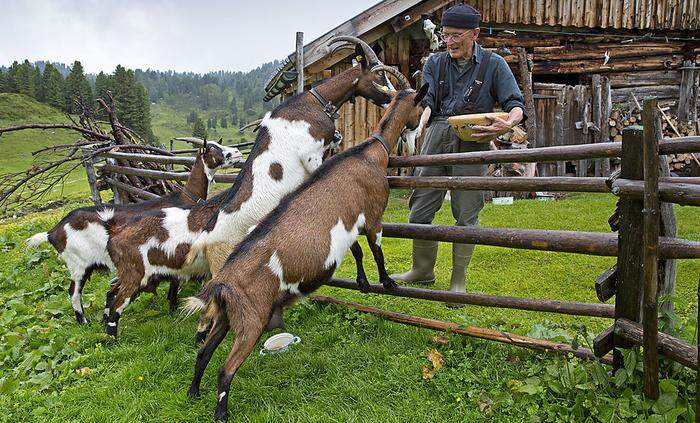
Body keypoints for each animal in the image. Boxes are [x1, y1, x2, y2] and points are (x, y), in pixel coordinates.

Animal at [183, 83, 430, 420]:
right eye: (420, 105)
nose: (420, 132)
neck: (371, 152)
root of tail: (221, 283)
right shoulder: (373, 214)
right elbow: (376, 249)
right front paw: (388, 282)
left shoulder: (348, 226)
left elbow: (357, 252)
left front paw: (363, 283)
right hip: (251, 322)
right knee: (225, 368)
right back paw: (221, 413)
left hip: (225, 317)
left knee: (203, 352)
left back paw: (193, 393)